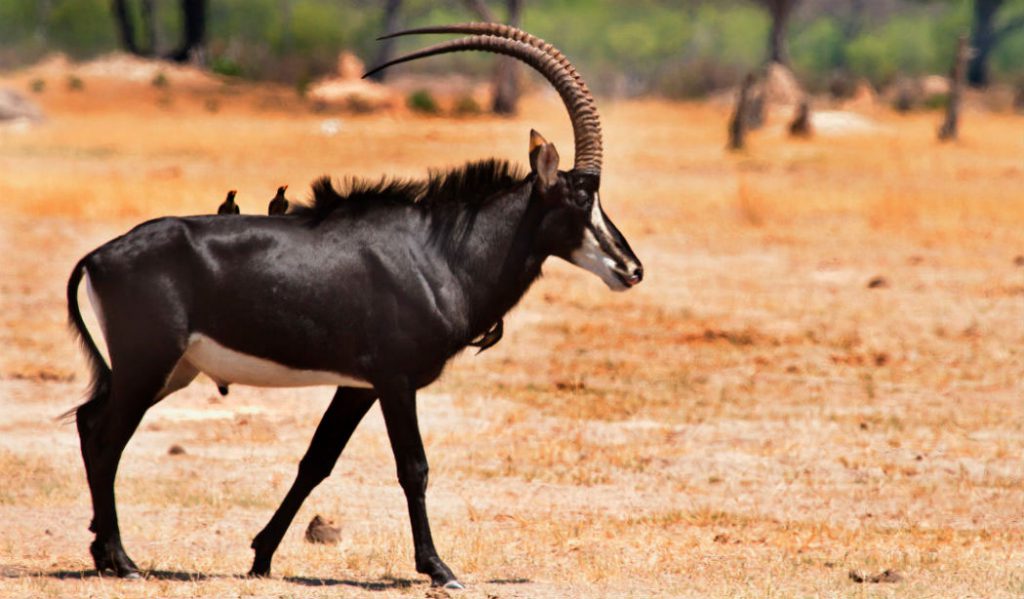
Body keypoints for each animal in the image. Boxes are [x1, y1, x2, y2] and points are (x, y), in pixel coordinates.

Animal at [64, 24, 638, 589]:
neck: (437, 250)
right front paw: (438, 568)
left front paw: (262, 555)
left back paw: (104, 553)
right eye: (581, 198)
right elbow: (413, 467)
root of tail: (99, 256)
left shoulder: (358, 386)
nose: (631, 268)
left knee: (91, 424)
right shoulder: (396, 380)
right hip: (148, 365)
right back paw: (123, 560)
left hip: (171, 371)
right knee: (106, 439)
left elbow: (317, 461)